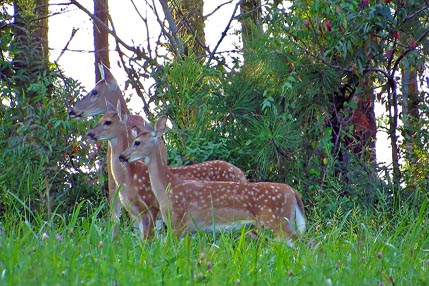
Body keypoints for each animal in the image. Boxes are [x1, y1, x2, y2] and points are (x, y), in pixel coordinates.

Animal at [86, 101, 247, 239]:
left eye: (107, 122)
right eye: (100, 118)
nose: (90, 134)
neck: (129, 176)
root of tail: (242, 175)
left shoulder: (150, 207)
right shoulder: (135, 212)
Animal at [118, 116, 306, 244]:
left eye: (137, 142)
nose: (121, 156)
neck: (167, 187)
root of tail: (293, 191)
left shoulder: (178, 221)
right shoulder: (186, 228)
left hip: (277, 219)